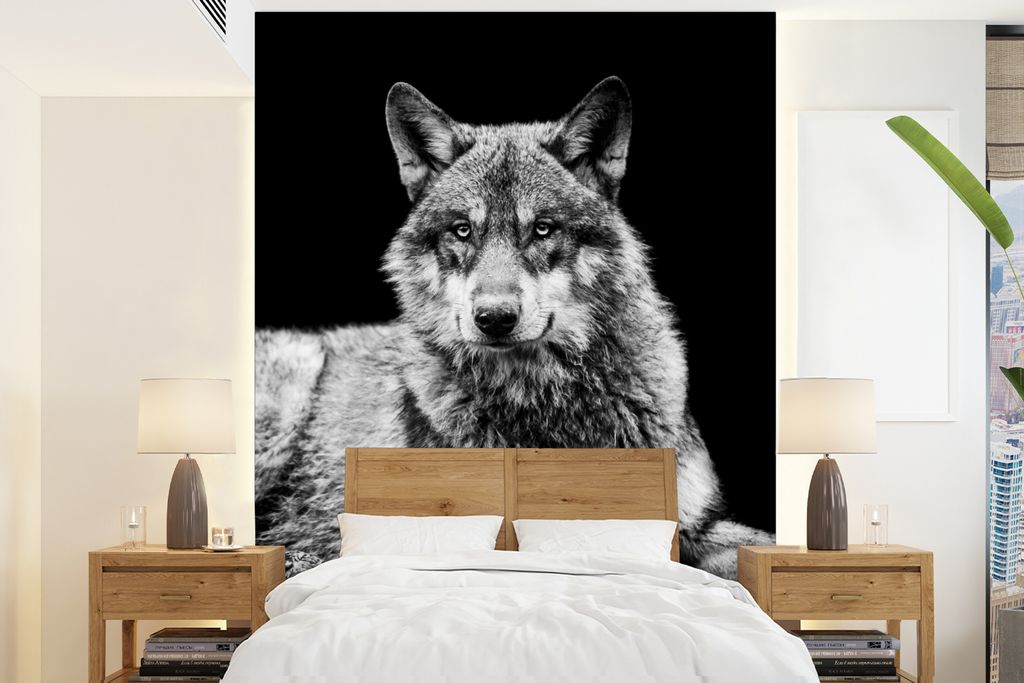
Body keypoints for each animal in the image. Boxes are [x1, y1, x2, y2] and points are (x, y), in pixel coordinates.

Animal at [255, 77, 774, 578]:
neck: (545, 402)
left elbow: (756, 546)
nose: (494, 318)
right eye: (462, 230)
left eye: (542, 228)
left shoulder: (696, 525)